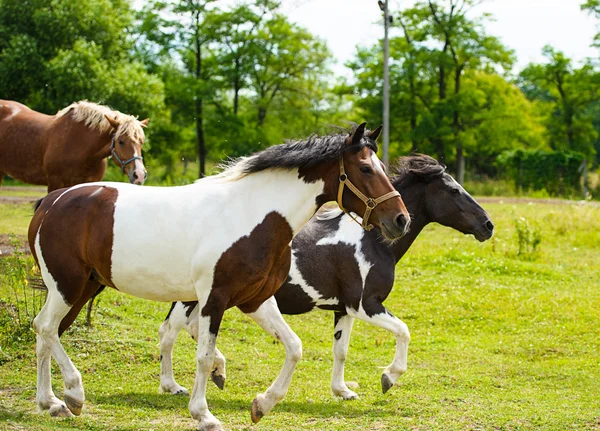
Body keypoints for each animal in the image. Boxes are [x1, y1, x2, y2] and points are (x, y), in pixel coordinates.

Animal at [29, 122, 412, 431]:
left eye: (381, 167)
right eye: (365, 168)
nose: (401, 220)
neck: (253, 216)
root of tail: (51, 202)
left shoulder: (255, 301)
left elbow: (294, 347)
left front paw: (262, 405)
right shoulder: (214, 299)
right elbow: (204, 356)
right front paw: (204, 415)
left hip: (81, 287)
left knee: (46, 332)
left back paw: (51, 403)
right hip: (67, 285)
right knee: (46, 328)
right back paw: (73, 393)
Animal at [157, 155, 494, 402]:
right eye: (454, 190)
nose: (488, 226)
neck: (371, 241)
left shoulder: (344, 309)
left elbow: (341, 351)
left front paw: (342, 391)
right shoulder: (365, 305)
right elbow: (404, 331)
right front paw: (388, 377)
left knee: (184, 329)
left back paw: (214, 372)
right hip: (194, 297)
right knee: (171, 332)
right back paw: (174, 385)